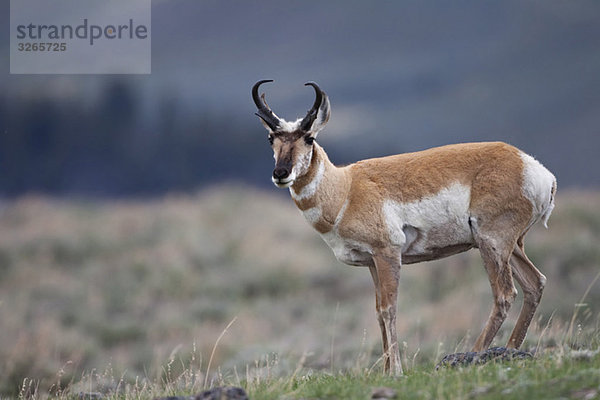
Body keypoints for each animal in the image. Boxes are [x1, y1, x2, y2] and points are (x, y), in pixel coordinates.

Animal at [252, 79, 556, 376]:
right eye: (271, 138)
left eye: (309, 137)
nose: (280, 173)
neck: (346, 188)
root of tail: (532, 166)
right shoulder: (372, 263)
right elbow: (377, 312)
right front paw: (387, 370)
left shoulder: (388, 255)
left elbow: (390, 309)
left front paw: (396, 371)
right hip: (510, 247)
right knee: (535, 283)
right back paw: (510, 350)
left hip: (492, 243)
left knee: (505, 294)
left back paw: (475, 353)